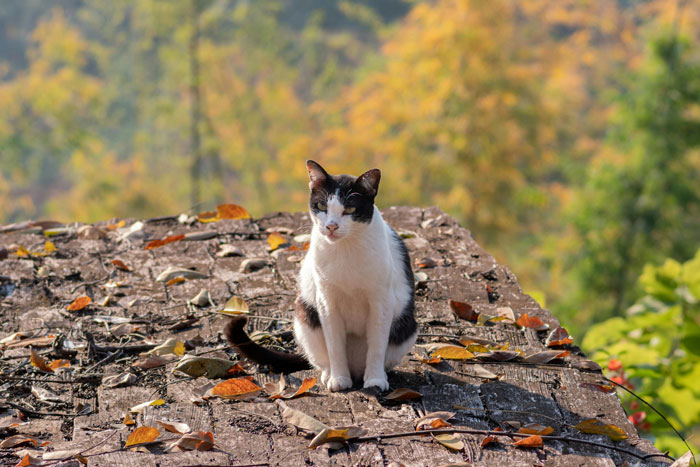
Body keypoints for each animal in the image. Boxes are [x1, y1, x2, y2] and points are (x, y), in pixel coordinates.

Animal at [227, 160, 418, 392]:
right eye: (321, 207)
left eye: (350, 209)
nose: (331, 226)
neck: (345, 249)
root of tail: (355, 368)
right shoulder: (326, 300)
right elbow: (334, 345)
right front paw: (338, 379)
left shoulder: (381, 301)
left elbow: (377, 346)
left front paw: (374, 380)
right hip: (305, 316)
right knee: (321, 357)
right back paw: (330, 374)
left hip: (407, 326)